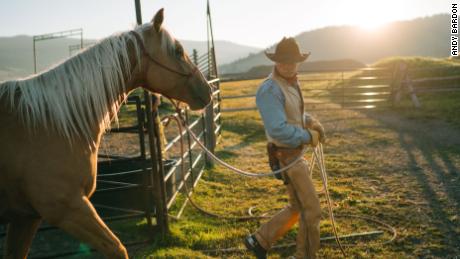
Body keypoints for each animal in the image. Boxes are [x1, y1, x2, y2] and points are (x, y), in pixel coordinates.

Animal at [0, 8, 212, 259]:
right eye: (178, 51)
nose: (208, 90)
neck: (49, 122)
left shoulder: (26, 217)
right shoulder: (67, 208)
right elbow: (117, 248)